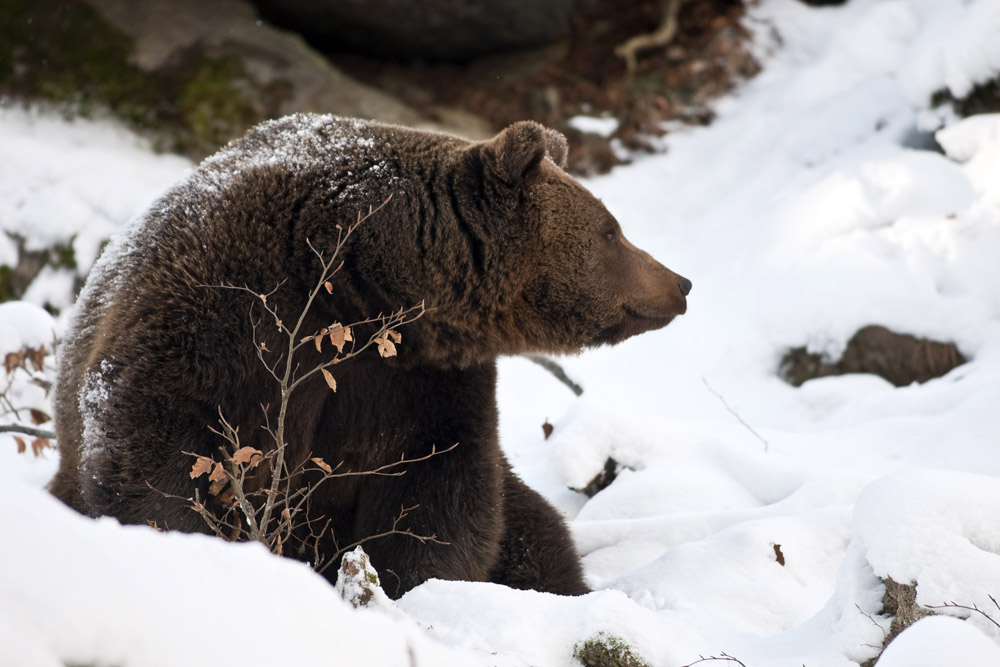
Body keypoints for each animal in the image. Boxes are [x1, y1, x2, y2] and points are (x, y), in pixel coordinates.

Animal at [50, 115, 691, 598]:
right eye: (611, 230)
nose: (680, 282)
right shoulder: (223, 314)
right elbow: (156, 443)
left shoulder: (420, 380)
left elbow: (439, 489)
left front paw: (403, 584)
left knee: (536, 531)